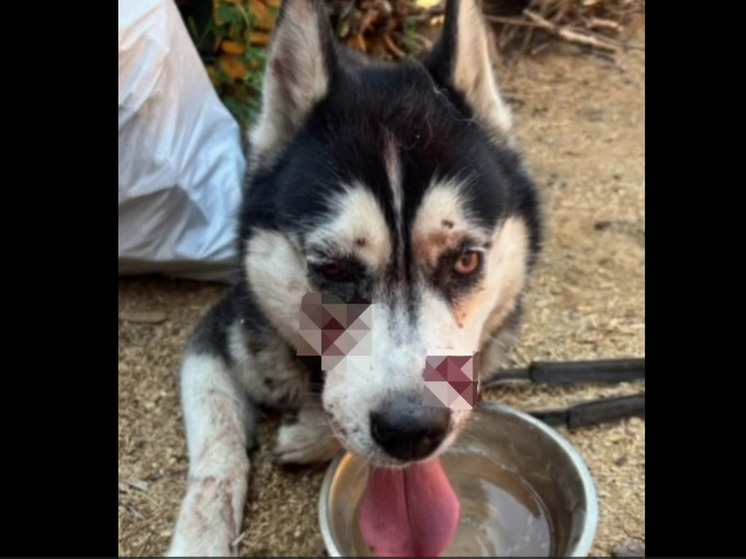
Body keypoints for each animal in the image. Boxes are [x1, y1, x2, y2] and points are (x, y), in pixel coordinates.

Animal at [169, 0, 540, 556]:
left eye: (466, 262)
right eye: (333, 268)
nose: (412, 430)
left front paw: (307, 434)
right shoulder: (214, 340)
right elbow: (218, 449)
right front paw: (199, 538)